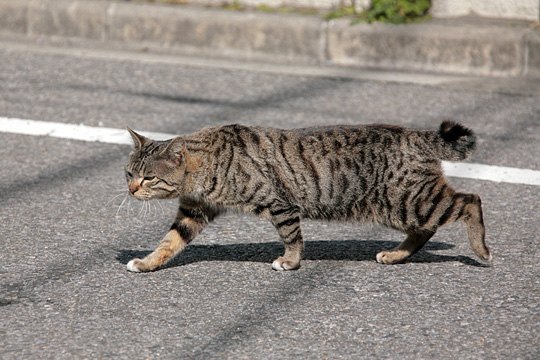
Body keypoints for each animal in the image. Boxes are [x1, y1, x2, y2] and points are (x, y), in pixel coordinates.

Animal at [124, 121, 492, 272]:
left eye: (149, 177)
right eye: (129, 173)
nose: (130, 189)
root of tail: (415, 135)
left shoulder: (280, 204)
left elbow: (292, 238)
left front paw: (290, 261)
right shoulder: (193, 212)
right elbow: (169, 243)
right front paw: (147, 263)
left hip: (411, 202)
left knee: (469, 201)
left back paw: (481, 249)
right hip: (400, 207)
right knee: (424, 230)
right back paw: (395, 255)